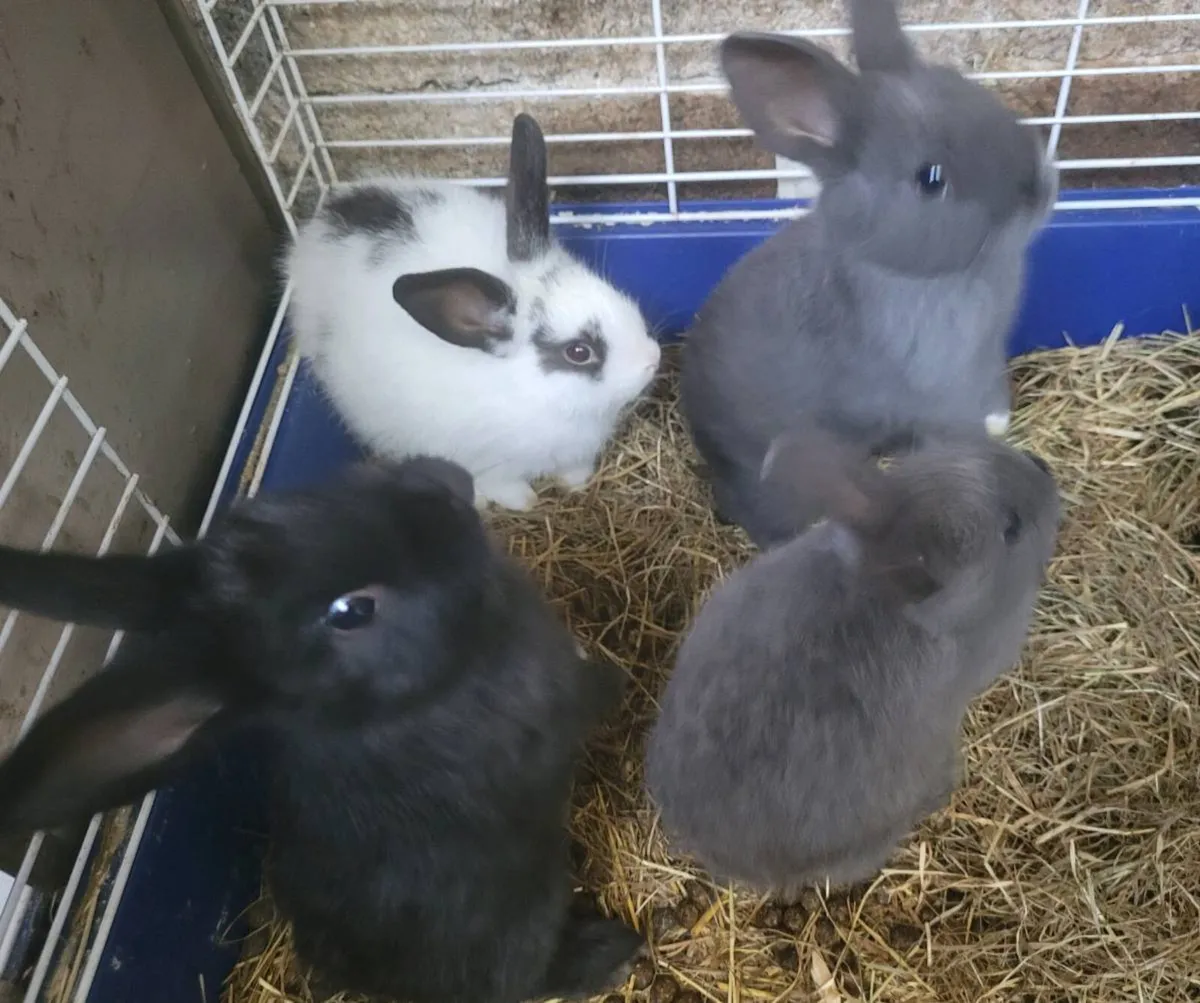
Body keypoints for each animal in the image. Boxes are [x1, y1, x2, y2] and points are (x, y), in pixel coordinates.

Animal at [284, 113, 662, 513]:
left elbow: (574, 471)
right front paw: (526, 503)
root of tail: (322, 220)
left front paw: (575, 486)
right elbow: (504, 486)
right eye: (579, 352)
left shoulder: (576, 454)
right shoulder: (485, 465)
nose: (653, 359)